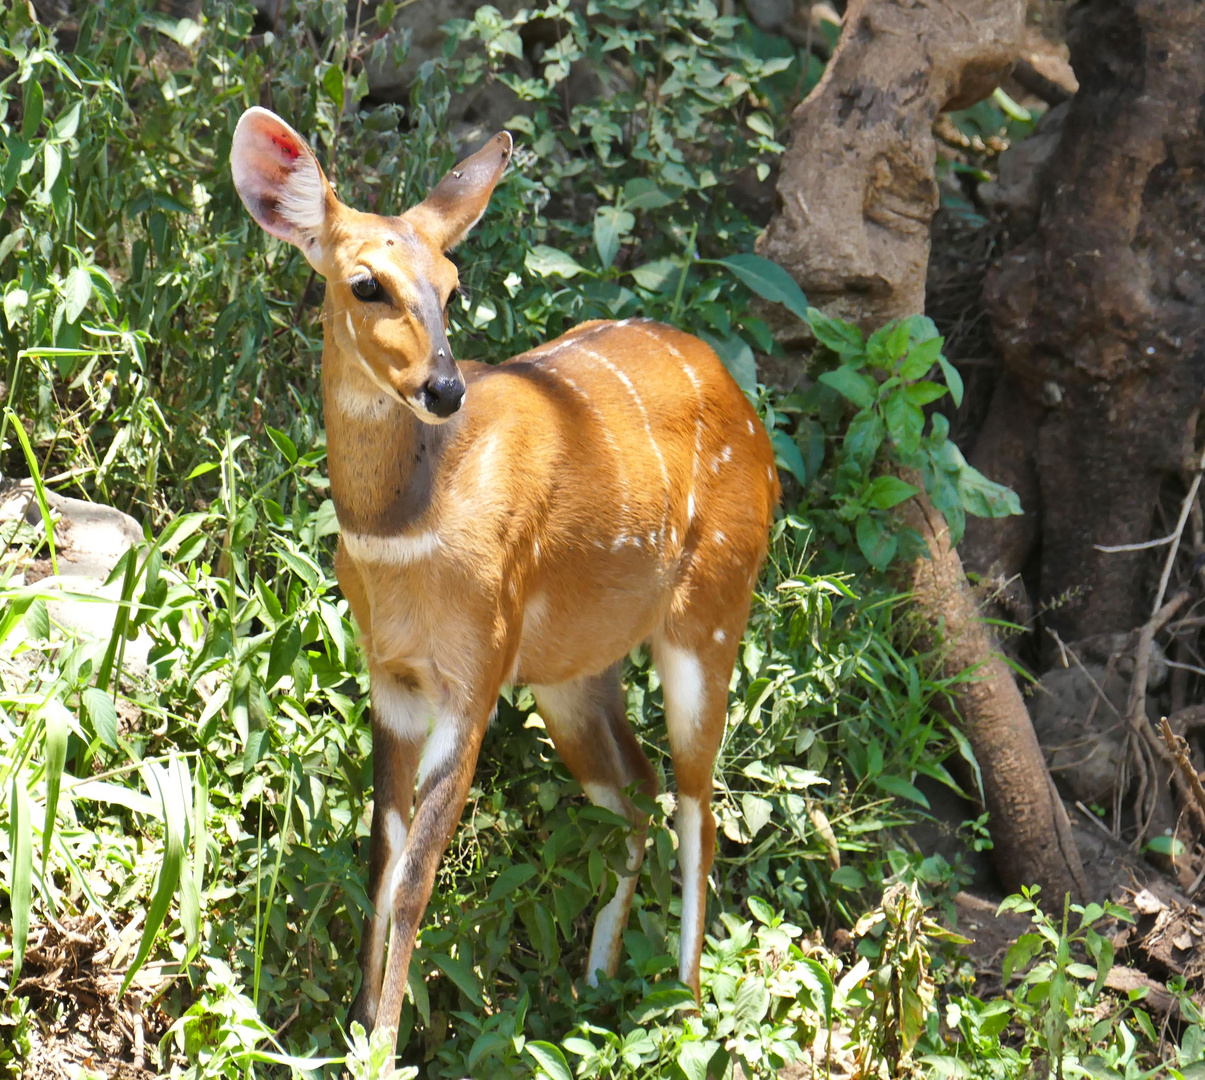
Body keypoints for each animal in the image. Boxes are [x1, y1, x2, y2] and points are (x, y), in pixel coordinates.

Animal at [231, 109, 780, 1046]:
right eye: (364, 284)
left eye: (453, 288)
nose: (443, 388)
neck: (406, 532)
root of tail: (761, 433)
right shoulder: (391, 678)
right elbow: (381, 858)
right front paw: (356, 1024)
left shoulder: (475, 674)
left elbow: (415, 878)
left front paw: (381, 1046)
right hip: (573, 670)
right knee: (632, 794)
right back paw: (595, 989)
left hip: (710, 615)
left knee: (697, 804)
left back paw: (684, 1012)